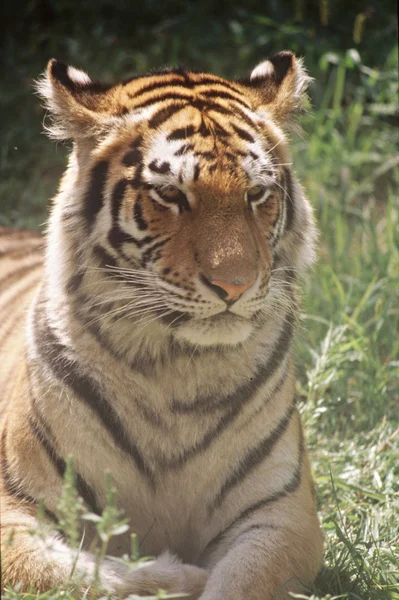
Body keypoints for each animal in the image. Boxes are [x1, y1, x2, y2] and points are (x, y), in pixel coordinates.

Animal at [0, 52, 324, 600]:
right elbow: (71, 573)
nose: (235, 285)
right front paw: (175, 576)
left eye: (257, 194)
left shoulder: (282, 513)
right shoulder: (15, 509)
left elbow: (243, 582)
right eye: (171, 195)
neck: (178, 370)